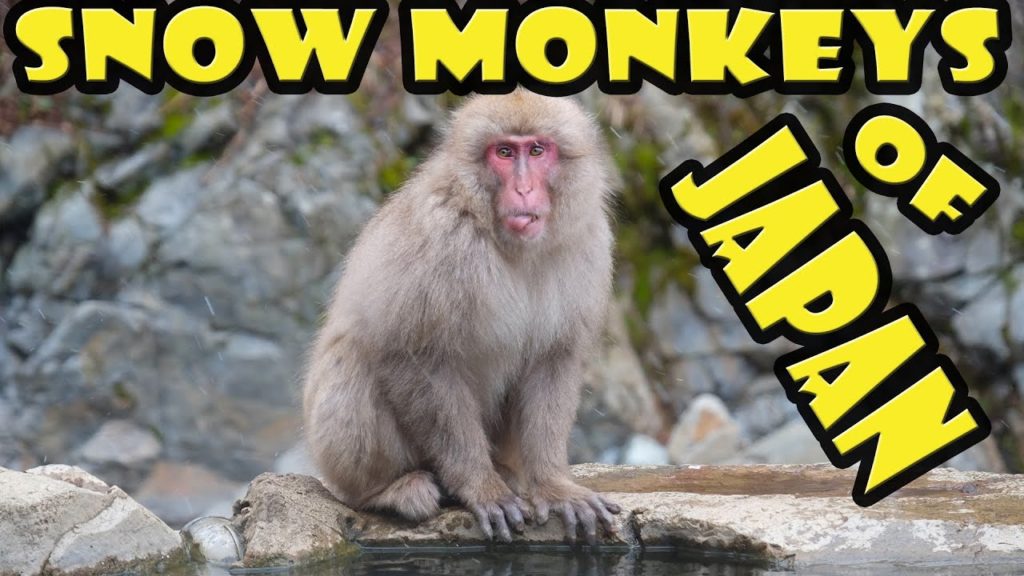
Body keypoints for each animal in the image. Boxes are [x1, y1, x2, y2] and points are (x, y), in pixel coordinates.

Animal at [302, 90, 621, 545]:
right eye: (503, 153)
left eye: (537, 150)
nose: (523, 188)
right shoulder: (441, 242)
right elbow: (415, 356)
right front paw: (480, 487)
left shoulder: (589, 242)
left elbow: (553, 359)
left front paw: (554, 485)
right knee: (355, 356)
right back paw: (391, 491)